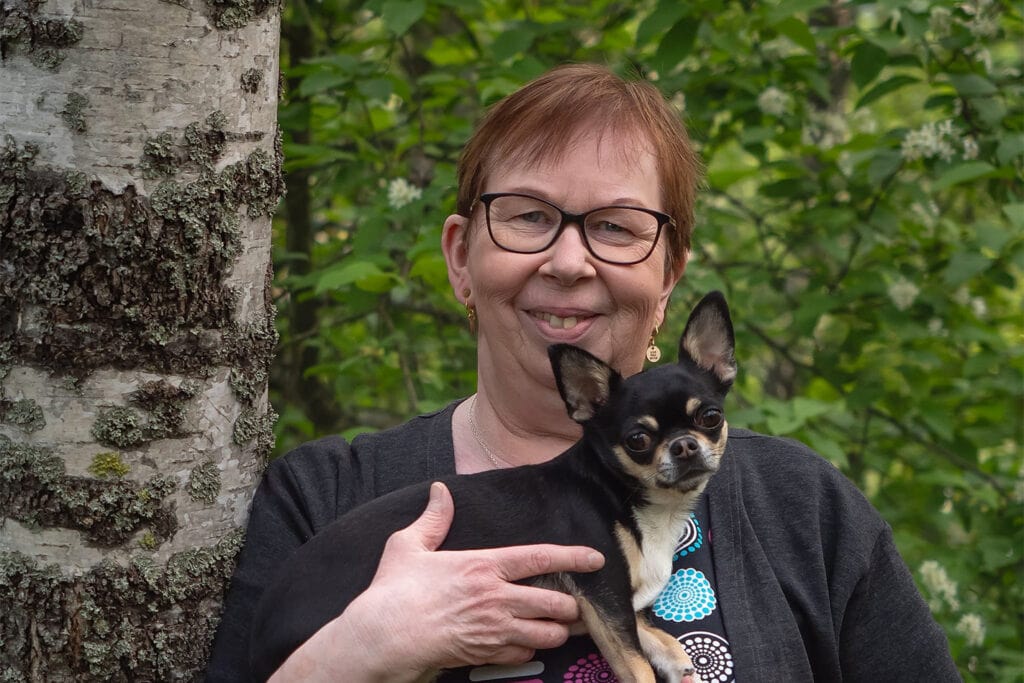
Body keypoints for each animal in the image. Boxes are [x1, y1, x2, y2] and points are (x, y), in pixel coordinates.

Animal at [249, 291, 736, 683]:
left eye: (710, 417)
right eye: (637, 440)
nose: (685, 446)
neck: (631, 497)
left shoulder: (618, 605)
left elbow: (656, 637)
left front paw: (681, 662)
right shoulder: (602, 594)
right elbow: (635, 663)